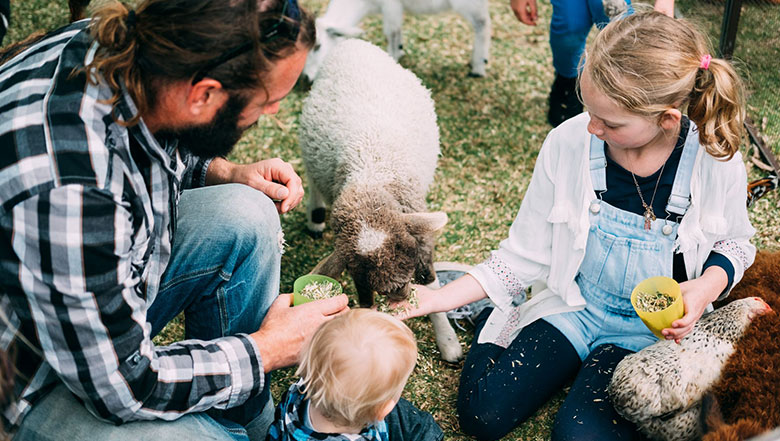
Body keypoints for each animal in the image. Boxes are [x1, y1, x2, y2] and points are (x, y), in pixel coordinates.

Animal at [298, 37, 458, 360]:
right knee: (312, 180)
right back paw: (315, 216)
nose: (398, 292)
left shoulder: (420, 235)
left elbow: (432, 282)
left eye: (406, 248)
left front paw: (448, 341)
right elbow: (365, 302)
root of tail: (350, 44)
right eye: (356, 268)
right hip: (311, 153)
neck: (371, 175)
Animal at [302, 0, 490, 81]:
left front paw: (392, 58)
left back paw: (478, 66)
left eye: (318, 46)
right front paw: (399, 50)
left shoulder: (390, 6)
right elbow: (396, 32)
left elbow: (392, 32)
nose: (305, 78)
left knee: (483, 24)